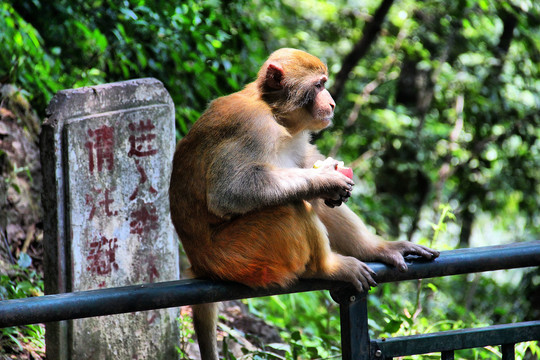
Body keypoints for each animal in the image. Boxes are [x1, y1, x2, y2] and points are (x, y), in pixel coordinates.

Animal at [169, 48, 438, 360]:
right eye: (319, 85)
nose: (332, 102)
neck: (274, 113)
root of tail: (200, 264)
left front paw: (330, 184)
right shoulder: (250, 125)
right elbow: (229, 192)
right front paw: (325, 180)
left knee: (303, 201)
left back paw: (376, 249)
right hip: (239, 258)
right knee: (289, 207)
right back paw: (325, 268)